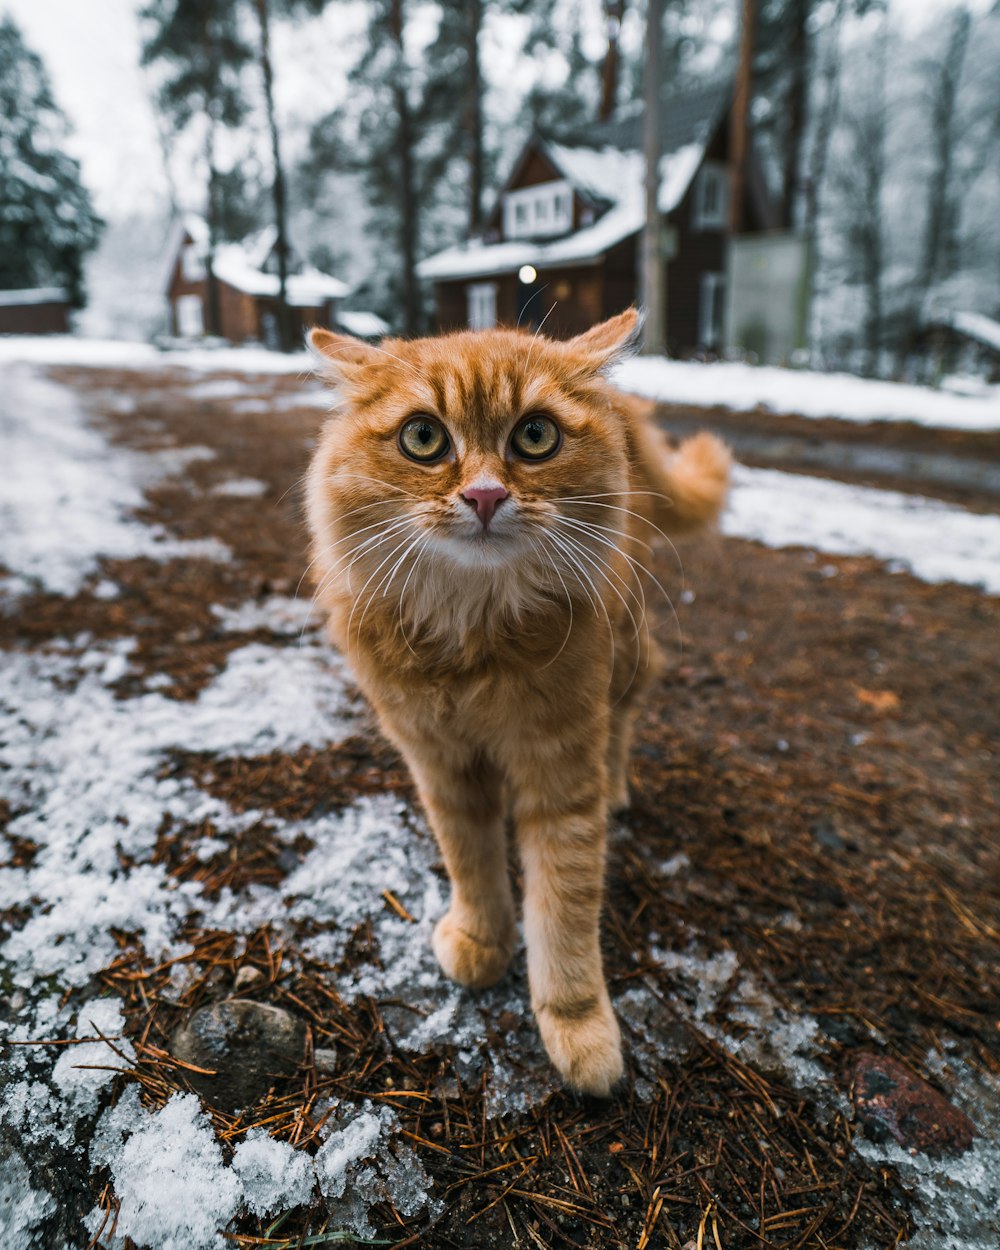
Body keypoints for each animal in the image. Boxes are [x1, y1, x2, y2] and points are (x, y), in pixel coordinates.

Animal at [305, 310, 725, 1095]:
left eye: (535, 437)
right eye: (423, 438)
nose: (484, 497)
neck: (474, 640)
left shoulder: (560, 769)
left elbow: (563, 911)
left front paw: (578, 1028)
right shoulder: (440, 763)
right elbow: (472, 863)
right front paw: (482, 940)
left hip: (626, 659)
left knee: (627, 717)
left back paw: (619, 787)